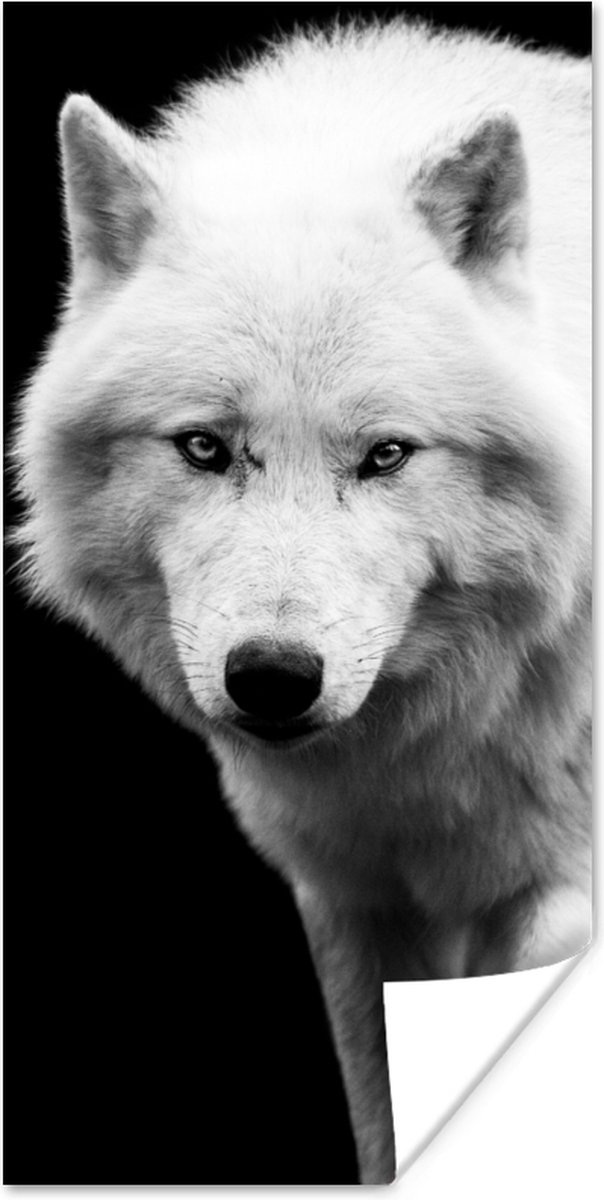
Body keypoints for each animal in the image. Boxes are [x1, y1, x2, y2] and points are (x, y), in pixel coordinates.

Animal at [14, 17, 591, 1184]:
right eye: (204, 447)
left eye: (386, 455)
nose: (273, 680)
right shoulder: (354, 905)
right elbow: (388, 1130)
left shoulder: (559, 894)